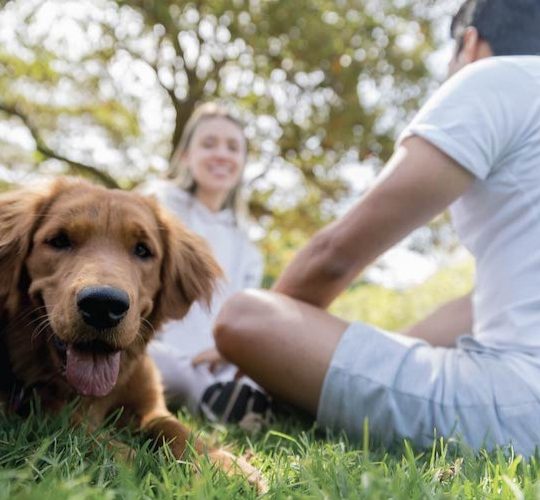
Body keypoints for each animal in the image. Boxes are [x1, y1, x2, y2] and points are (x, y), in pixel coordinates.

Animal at [0, 178, 266, 490]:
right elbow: (87, 435)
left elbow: (179, 430)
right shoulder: (43, 408)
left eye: (142, 250)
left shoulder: (151, 407)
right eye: (59, 240)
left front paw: (224, 466)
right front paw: (144, 465)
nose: (102, 305)